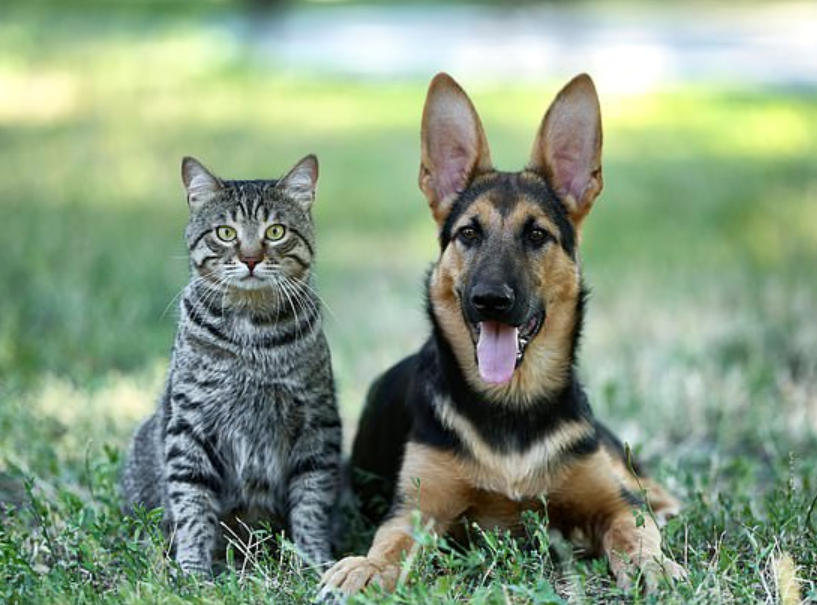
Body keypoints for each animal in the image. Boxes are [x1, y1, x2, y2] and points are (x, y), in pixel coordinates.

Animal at [120, 154, 341, 576]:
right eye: (225, 233)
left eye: (275, 231)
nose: (251, 258)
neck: (252, 335)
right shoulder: (190, 424)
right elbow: (192, 502)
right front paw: (193, 570)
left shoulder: (317, 420)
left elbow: (311, 500)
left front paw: (315, 561)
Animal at [321, 72, 686, 597]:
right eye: (469, 233)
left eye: (537, 235)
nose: (490, 300)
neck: (511, 404)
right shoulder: (414, 512)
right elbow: (388, 545)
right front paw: (364, 567)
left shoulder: (612, 502)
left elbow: (634, 531)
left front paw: (652, 565)